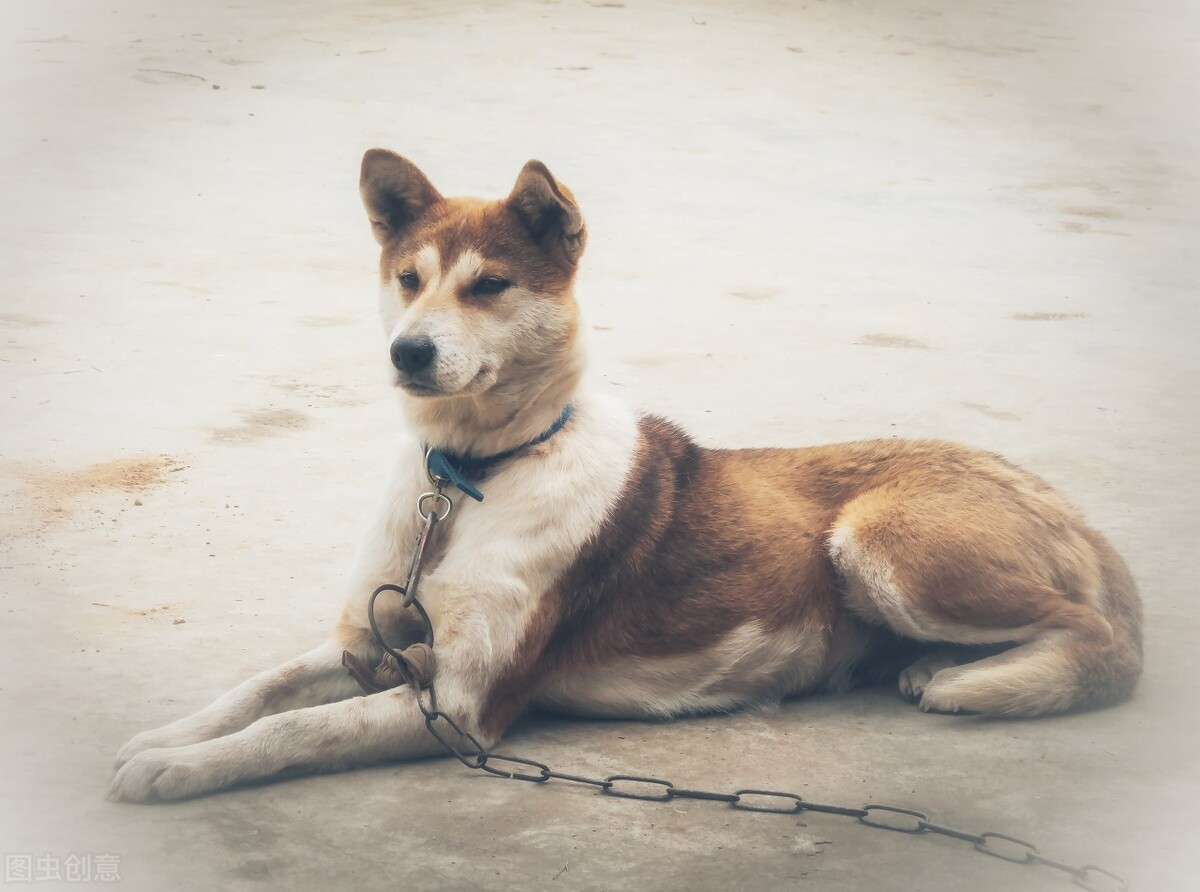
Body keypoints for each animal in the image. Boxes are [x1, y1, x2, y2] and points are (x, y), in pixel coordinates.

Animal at [110, 151, 1142, 801]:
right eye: (408, 278)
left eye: (489, 286)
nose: (407, 353)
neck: (473, 477)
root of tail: (1059, 501)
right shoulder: (372, 642)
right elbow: (258, 692)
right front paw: (165, 739)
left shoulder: (462, 705)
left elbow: (290, 730)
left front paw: (180, 772)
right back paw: (942, 667)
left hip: (877, 543)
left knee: (1097, 640)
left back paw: (976, 683)